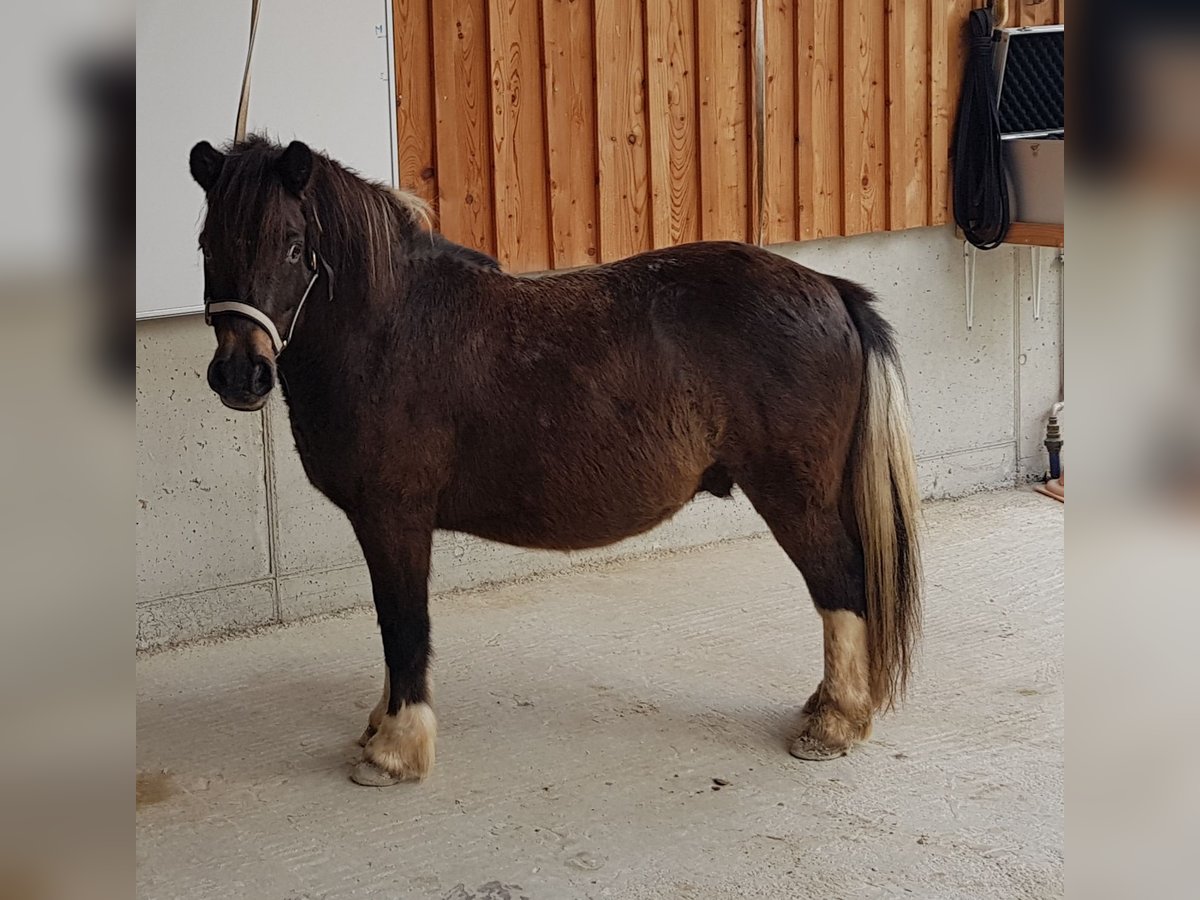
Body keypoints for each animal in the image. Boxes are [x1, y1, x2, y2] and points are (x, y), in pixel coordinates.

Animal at [187, 135, 921, 787]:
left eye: (292, 245)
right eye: (207, 245)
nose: (241, 375)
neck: (391, 329)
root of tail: (830, 288)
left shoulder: (395, 516)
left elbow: (403, 624)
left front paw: (394, 752)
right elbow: (390, 625)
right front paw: (379, 729)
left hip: (794, 496)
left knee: (840, 584)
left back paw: (834, 723)